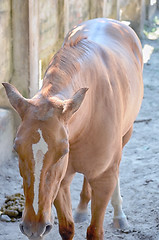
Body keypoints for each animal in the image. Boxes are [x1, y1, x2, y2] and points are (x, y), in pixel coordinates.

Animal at [3, 17, 143, 239]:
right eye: (16, 149)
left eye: (63, 152)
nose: (33, 226)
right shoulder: (61, 181)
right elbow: (67, 228)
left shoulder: (104, 179)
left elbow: (95, 232)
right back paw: (82, 208)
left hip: (125, 136)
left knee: (117, 166)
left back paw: (119, 214)